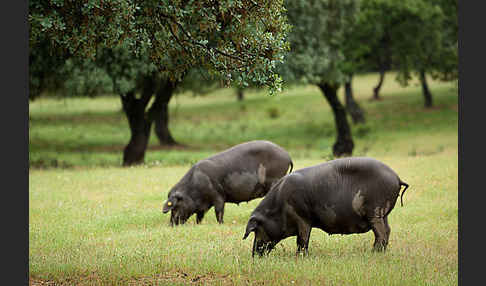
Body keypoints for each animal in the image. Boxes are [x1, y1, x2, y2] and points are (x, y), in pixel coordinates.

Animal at [162, 141, 292, 226]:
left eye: (175, 207)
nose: (171, 225)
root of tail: (287, 156)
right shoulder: (203, 205)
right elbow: (200, 216)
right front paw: (198, 224)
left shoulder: (218, 195)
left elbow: (219, 211)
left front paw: (221, 224)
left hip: (275, 178)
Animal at [241, 158, 408, 256]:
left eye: (256, 229)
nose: (253, 255)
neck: (278, 208)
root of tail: (396, 177)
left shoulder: (302, 218)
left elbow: (302, 239)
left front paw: (300, 257)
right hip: (383, 214)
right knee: (388, 230)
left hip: (375, 211)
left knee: (381, 234)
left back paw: (373, 253)